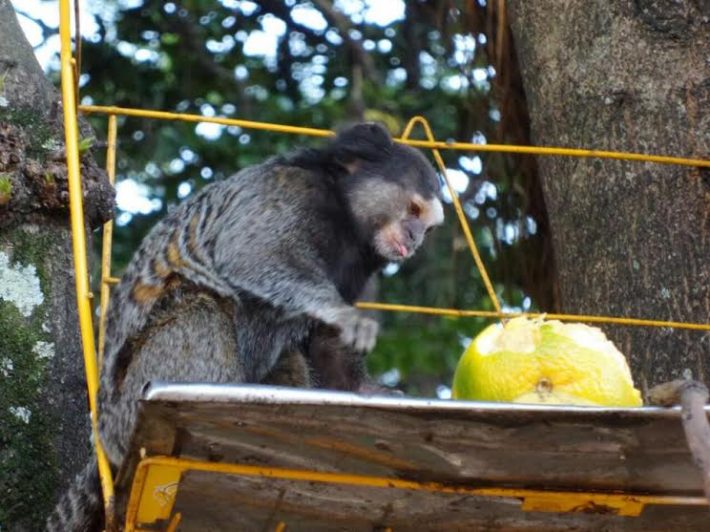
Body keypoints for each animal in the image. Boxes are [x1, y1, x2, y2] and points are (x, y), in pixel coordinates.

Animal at [46, 122, 444, 528]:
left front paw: (367, 387)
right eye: (412, 209)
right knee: (204, 311)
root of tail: (106, 436)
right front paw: (342, 314)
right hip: (133, 399)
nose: (414, 239)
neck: (345, 219)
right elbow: (251, 254)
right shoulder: (290, 194)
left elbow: (325, 342)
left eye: (428, 228)